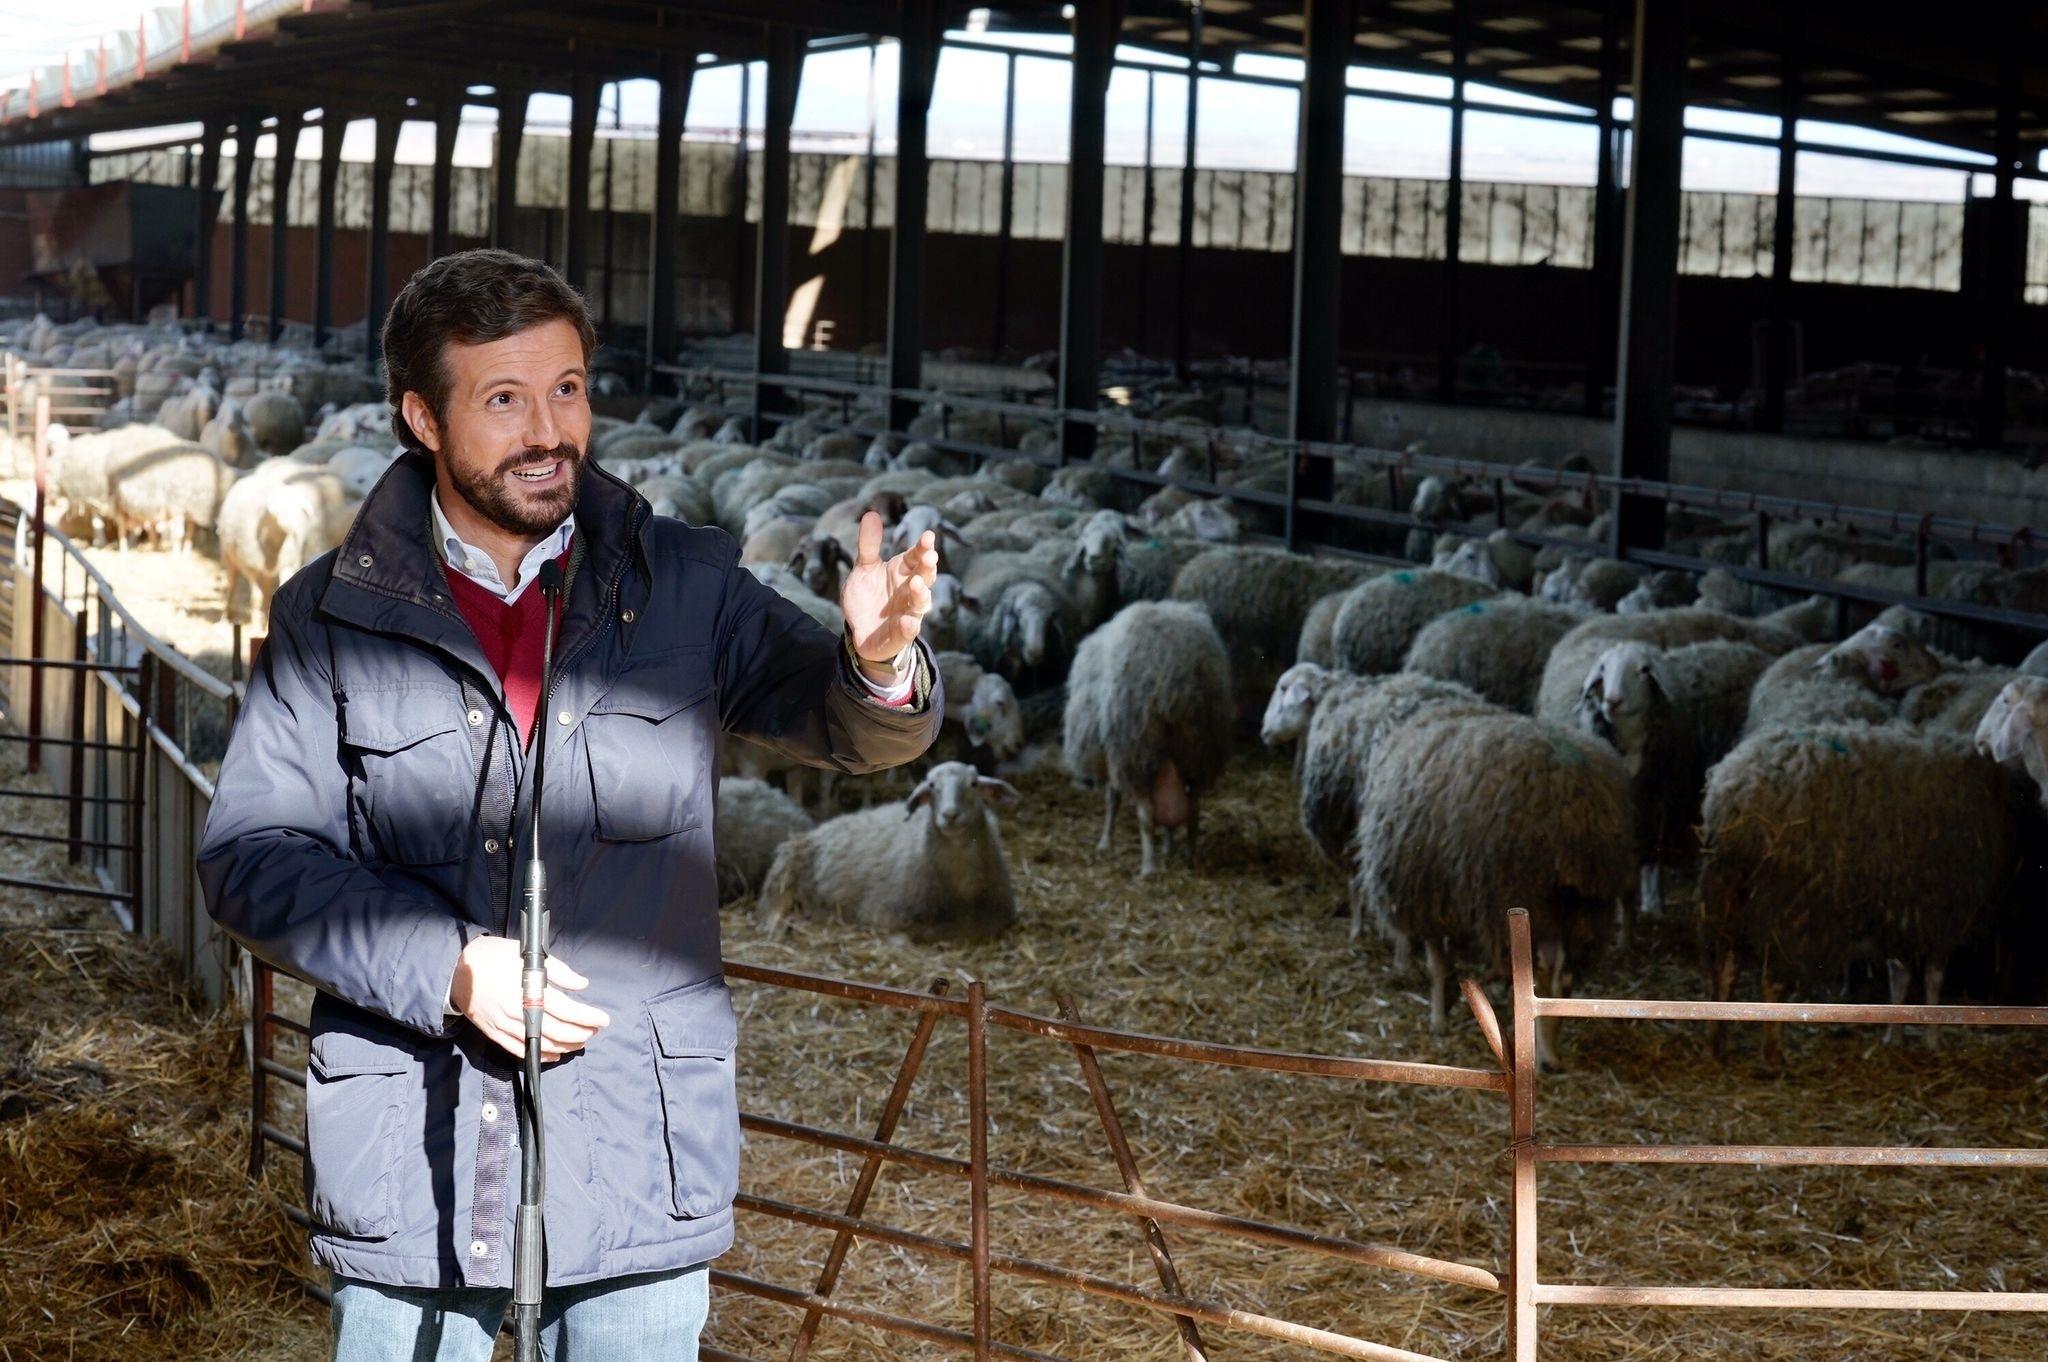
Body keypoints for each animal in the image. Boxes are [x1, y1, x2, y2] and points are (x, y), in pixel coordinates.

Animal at [1056, 602, 1228, 876]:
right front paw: (1168, 848)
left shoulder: (1113, 753)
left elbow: (1112, 799)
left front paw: (1106, 841)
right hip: (1197, 748)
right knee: (1193, 809)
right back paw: (1189, 855)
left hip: (1135, 749)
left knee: (1146, 814)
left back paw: (1148, 867)